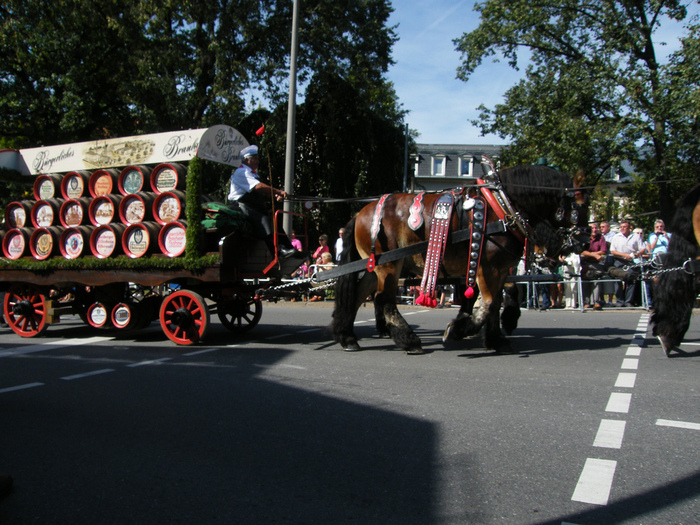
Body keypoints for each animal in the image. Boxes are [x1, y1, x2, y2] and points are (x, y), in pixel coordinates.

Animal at [330, 164, 588, 352]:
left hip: (377, 266)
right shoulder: (488, 267)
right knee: (384, 299)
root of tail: (361, 213)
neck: (502, 207)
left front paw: (498, 334)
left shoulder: (498, 269)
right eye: (579, 208)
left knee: (358, 295)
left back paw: (347, 337)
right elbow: (490, 303)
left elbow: (501, 297)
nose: (584, 242)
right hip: (390, 265)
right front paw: (460, 328)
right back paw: (408, 340)